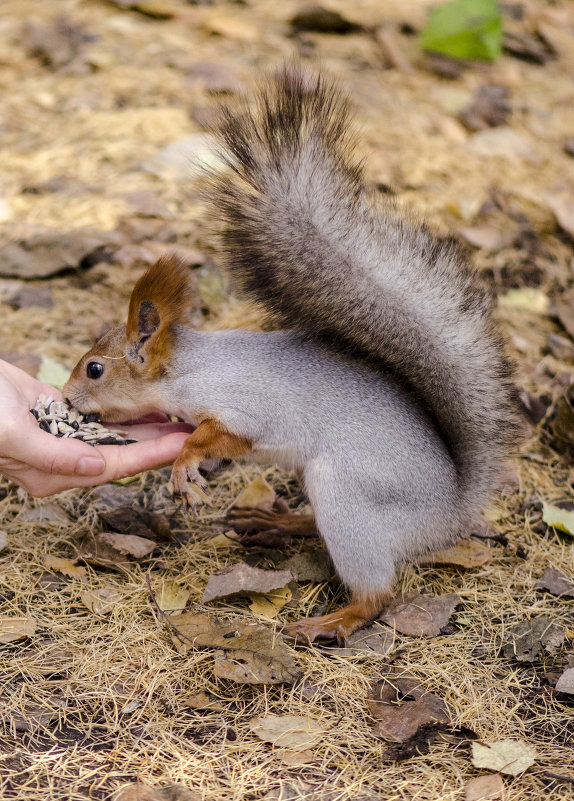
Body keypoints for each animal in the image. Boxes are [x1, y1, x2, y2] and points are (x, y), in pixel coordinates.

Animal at [64, 64, 520, 644]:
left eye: (95, 369)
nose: (66, 398)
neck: (192, 368)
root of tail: (450, 512)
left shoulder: (248, 406)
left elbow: (217, 436)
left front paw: (185, 464)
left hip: (348, 494)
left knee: (377, 593)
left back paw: (330, 621)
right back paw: (278, 523)